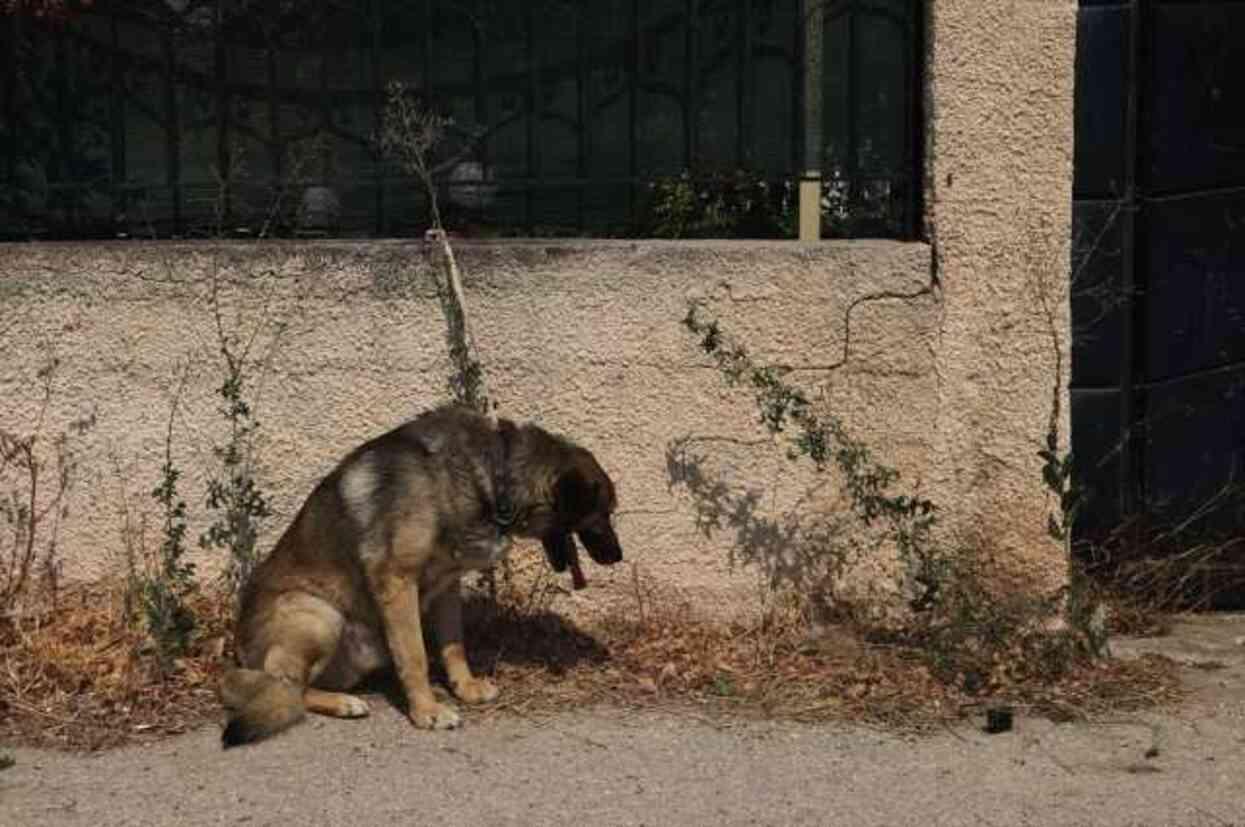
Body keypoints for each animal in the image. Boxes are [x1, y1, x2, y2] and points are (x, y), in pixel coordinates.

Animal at [219, 406, 622, 747]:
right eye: (604, 512)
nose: (618, 556)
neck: (495, 477)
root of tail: (241, 654)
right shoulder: (397, 581)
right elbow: (415, 655)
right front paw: (427, 711)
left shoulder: (447, 584)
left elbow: (453, 645)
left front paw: (465, 687)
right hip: (319, 614)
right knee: (289, 687)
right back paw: (342, 702)